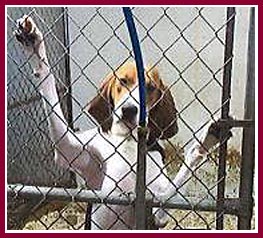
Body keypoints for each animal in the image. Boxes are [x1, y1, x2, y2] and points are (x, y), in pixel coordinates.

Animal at [13, 15, 225, 230]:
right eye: (123, 81)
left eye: (150, 87)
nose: (129, 110)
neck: (129, 140)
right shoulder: (70, 151)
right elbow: (49, 87)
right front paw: (35, 46)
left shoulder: (157, 212)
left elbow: (174, 187)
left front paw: (203, 144)